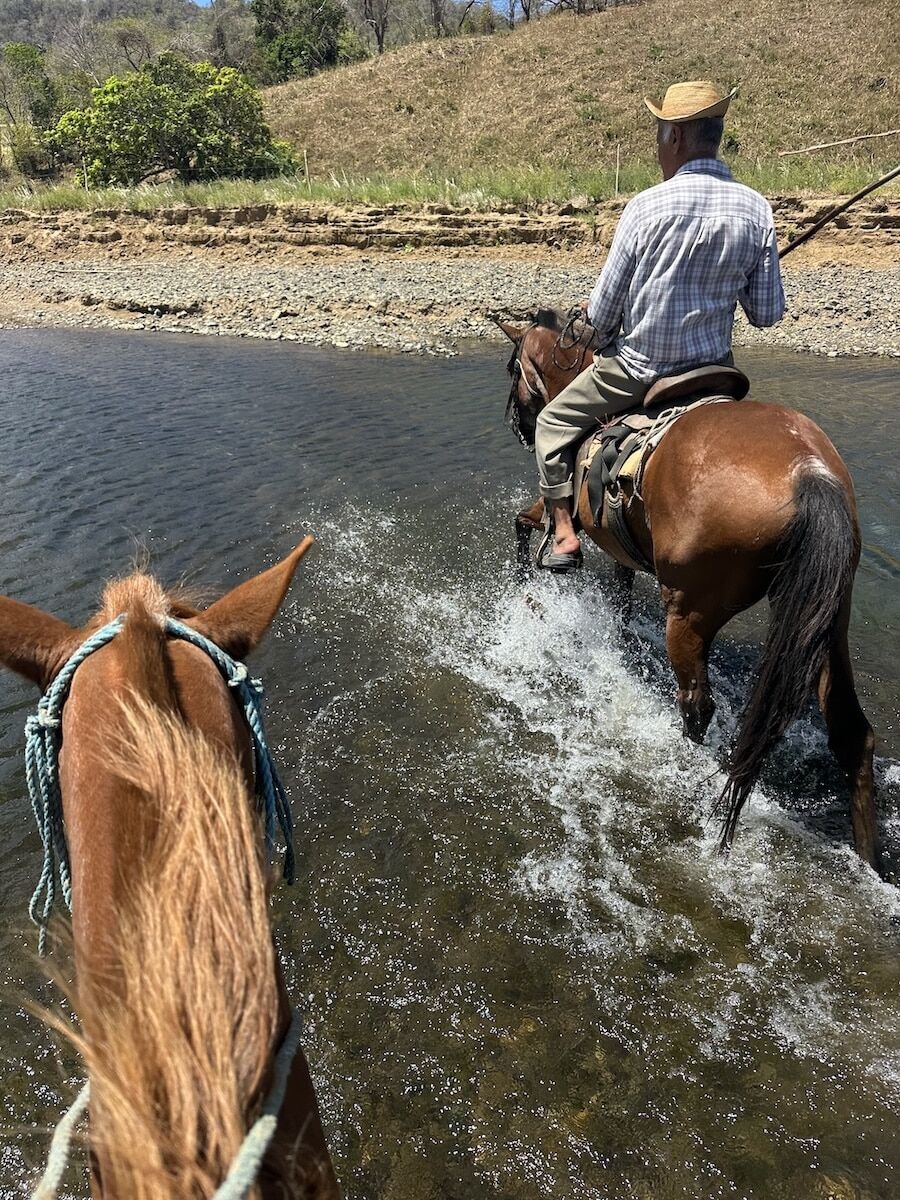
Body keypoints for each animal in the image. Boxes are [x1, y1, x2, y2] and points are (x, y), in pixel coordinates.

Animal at [497, 310, 879, 872]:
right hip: (830, 619)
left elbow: (527, 524)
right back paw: (872, 862)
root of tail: (809, 473)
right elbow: (618, 599)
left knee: (697, 707)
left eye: (513, 368)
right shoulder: (618, 546)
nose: (522, 427)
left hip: (690, 611)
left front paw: (529, 586)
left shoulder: (567, 511)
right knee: (852, 734)